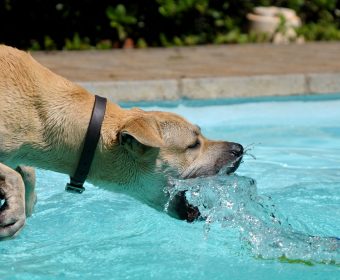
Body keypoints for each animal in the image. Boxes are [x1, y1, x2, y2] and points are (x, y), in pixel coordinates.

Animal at [0, 44, 244, 240]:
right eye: (193, 144)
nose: (239, 149)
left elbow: (27, 172)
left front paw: (26, 202)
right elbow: (15, 176)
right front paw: (14, 211)